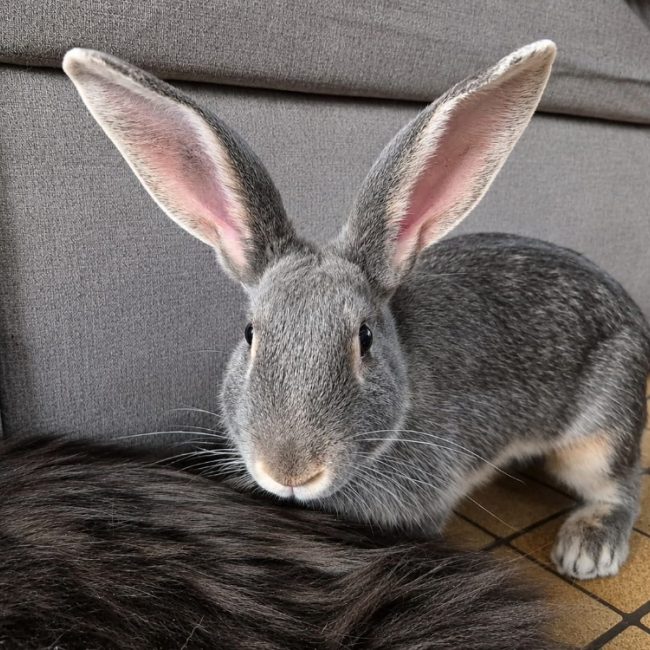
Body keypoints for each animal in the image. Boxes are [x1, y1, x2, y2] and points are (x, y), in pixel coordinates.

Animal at [63, 40, 650, 581]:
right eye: (250, 334)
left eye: (364, 338)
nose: (290, 471)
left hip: (601, 426)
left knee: (619, 482)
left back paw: (588, 549)